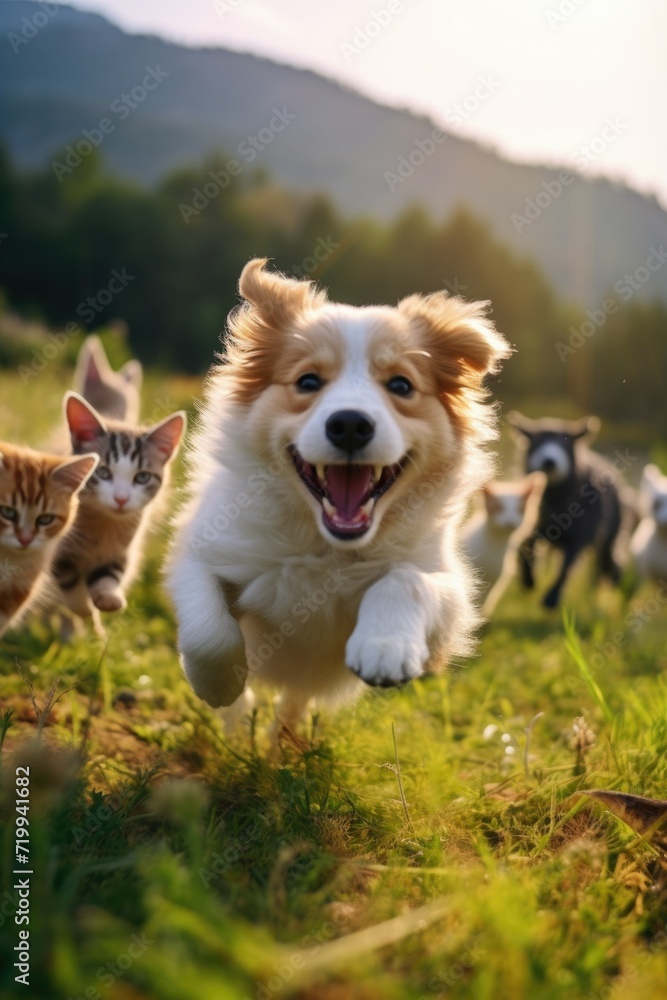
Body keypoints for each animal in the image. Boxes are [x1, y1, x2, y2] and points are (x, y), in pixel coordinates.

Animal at [167, 262, 512, 724]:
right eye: (308, 381)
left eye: (401, 386)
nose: (350, 424)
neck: (326, 546)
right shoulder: (204, 546)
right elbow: (209, 631)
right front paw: (219, 686)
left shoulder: (449, 593)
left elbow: (407, 579)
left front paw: (385, 647)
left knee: (293, 707)